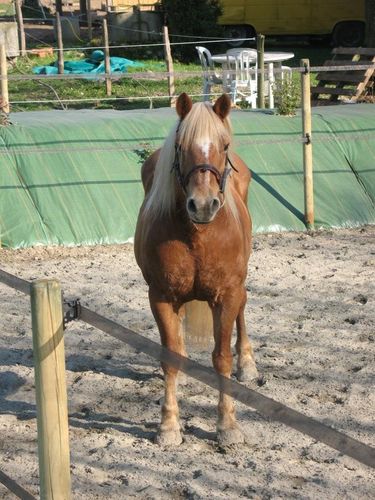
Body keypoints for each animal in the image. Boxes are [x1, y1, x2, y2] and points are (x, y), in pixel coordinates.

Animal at [135, 92, 258, 448]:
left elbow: (222, 358)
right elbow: (171, 356)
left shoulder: (227, 295)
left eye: (224, 145)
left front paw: (227, 425)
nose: (203, 205)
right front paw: (168, 426)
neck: (197, 235)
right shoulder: (162, 297)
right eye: (180, 146)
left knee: (243, 310)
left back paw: (248, 363)